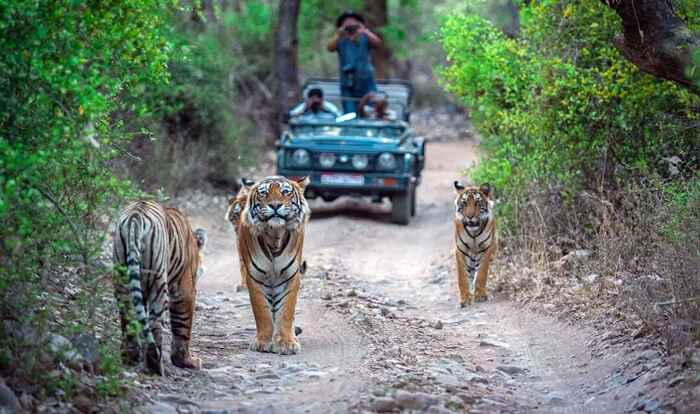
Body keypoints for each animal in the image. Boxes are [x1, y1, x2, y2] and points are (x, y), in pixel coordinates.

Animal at [112, 201, 205, 376]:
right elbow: (183, 326)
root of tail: (136, 215)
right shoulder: (185, 290)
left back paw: (130, 357)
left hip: (121, 276)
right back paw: (155, 366)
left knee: (128, 317)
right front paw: (187, 361)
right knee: (154, 323)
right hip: (158, 282)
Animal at [238, 176, 308, 354]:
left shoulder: (291, 276)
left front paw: (286, 343)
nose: (275, 205)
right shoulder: (254, 278)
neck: (274, 236)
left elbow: (287, 310)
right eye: (264, 193)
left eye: (285, 192)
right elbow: (262, 311)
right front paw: (263, 342)